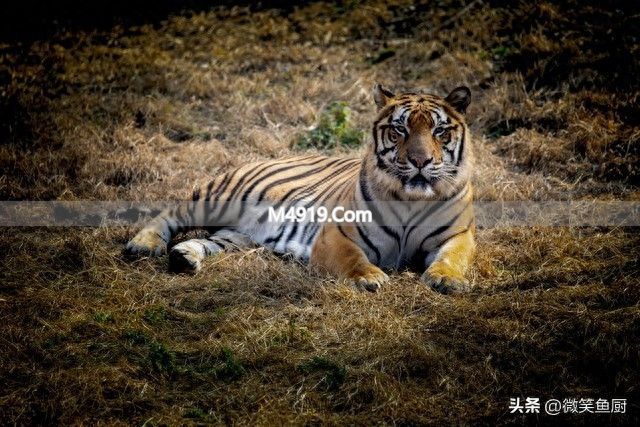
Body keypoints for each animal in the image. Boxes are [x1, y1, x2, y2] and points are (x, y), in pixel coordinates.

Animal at [125, 83, 475, 294]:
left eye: (439, 131)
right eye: (399, 129)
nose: (420, 160)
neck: (411, 200)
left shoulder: (458, 235)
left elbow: (454, 257)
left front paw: (447, 279)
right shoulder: (336, 235)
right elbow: (353, 259)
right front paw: (370, 277)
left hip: (236, 238)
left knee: (210, 240)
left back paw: (184, 257)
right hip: (218, 198)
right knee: (171, 213)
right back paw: (144, 245)